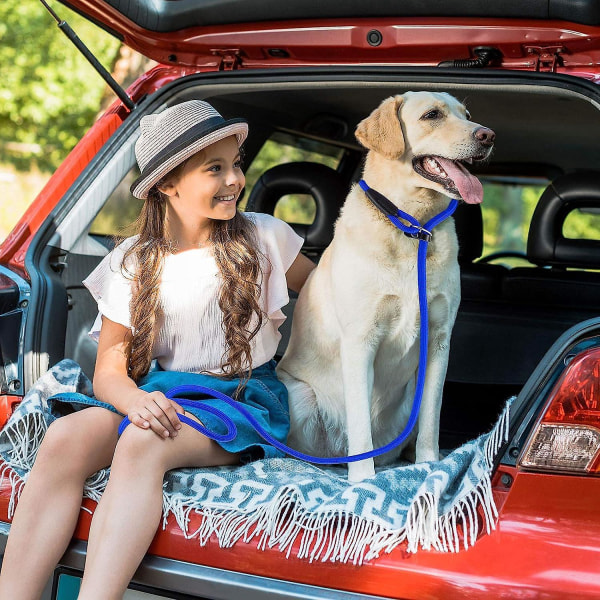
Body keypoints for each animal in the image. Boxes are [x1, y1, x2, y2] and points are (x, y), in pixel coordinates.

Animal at [278, 90, 494, 482]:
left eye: (467, 115)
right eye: (432, 115)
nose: (488, 135)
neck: (412, 228)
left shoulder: (438, 342)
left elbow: (431, 418)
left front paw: (428, 464)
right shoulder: (360, 341)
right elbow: (361, 424)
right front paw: (362, 480)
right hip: (300, 397)